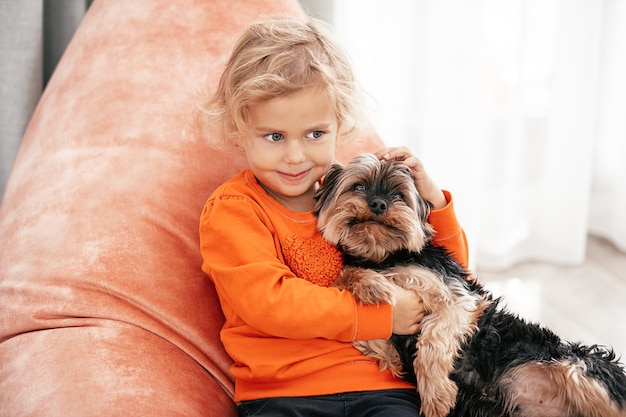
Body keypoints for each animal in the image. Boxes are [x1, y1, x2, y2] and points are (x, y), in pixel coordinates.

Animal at [312, 154, 624, 416]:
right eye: (359, 187)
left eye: (399, 195)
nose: (378, 204)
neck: (387, 256)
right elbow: (358, 308)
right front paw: (372, 289)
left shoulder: (456, 297)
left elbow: (432, 342)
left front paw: (436, 396)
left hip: (579, 369)